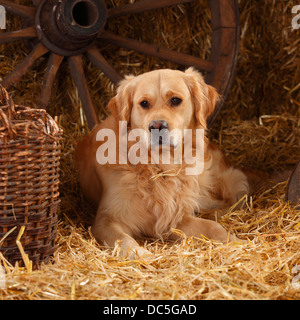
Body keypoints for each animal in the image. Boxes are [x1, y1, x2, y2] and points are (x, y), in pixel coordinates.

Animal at [75, 69, 270, 258]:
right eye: (144, 103)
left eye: (175, 100)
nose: (157, 126)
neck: (159, 165)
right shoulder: (106, 220)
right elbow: (123, 241)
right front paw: (144, 257)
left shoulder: (174, 215)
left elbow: (213, 226)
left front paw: (239, 242)